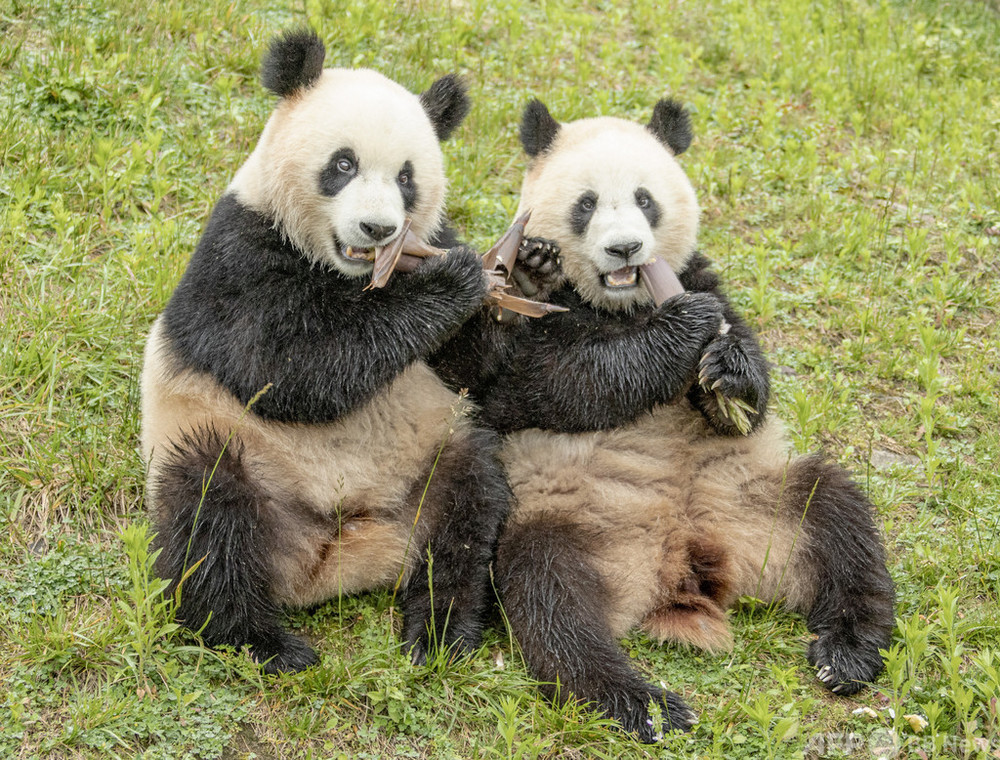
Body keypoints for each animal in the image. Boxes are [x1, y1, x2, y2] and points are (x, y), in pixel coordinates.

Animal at [141, 28, 512, 672]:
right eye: (343, 164)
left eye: (407, 178)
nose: (378, 230)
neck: (349, 274)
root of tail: (336, 555)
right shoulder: (238, 255)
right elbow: (290, 371)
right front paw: (450, 284)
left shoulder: (432, 234)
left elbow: (472, 370)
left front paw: (490, 282)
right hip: (229, 446)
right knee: (209, 519)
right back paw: (262, 640)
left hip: (434, 453)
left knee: (470, 506)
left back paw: (439, 631)